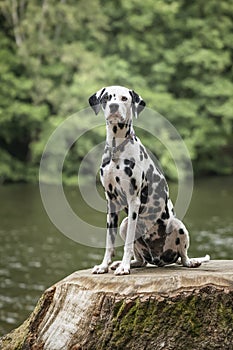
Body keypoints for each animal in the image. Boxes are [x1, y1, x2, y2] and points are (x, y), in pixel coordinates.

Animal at [88, 85, 210, 276]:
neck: (117, 149)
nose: (114, 106)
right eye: (106, 97)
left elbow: (128, 244)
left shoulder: (134, 201)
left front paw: (123, 267)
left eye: (124, 98)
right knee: (141, 260)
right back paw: (127, 263)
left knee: (183, 256)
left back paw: (190, 262)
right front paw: (104, 265)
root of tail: (158, 259)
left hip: (177, 225)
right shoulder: (111, 203)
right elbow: (109, 242)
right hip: (124, 225)